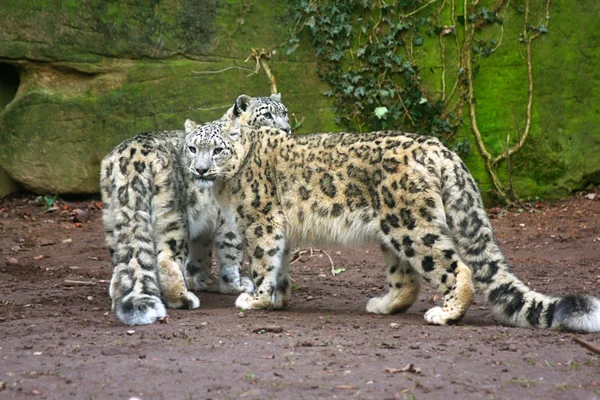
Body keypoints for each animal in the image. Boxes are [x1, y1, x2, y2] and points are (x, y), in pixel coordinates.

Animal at [100, 94, 290, 324]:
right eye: (267, 115)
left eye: (285, 112)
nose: (287, 129)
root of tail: (132, 158)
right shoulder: (229, 220)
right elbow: (231, 250)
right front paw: (234, 284)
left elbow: (201, 251)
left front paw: (201, 279)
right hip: (172, 215)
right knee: (167, 257)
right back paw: (182, 299)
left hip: (111, 217)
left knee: (121, 260)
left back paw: (118, 296)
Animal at [210, 123, 600, 332]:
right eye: (196, 147)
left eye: (216, 149)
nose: (200, 169)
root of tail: (443, 150)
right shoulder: (280, 228)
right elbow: (279, 263)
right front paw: (277, 297)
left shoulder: (260, 221)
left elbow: (263, 260)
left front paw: (255, 299)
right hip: (394, 229)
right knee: (407, 278)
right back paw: (384, 305)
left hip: (410, 226)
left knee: (455, 267)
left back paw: (445, 312)